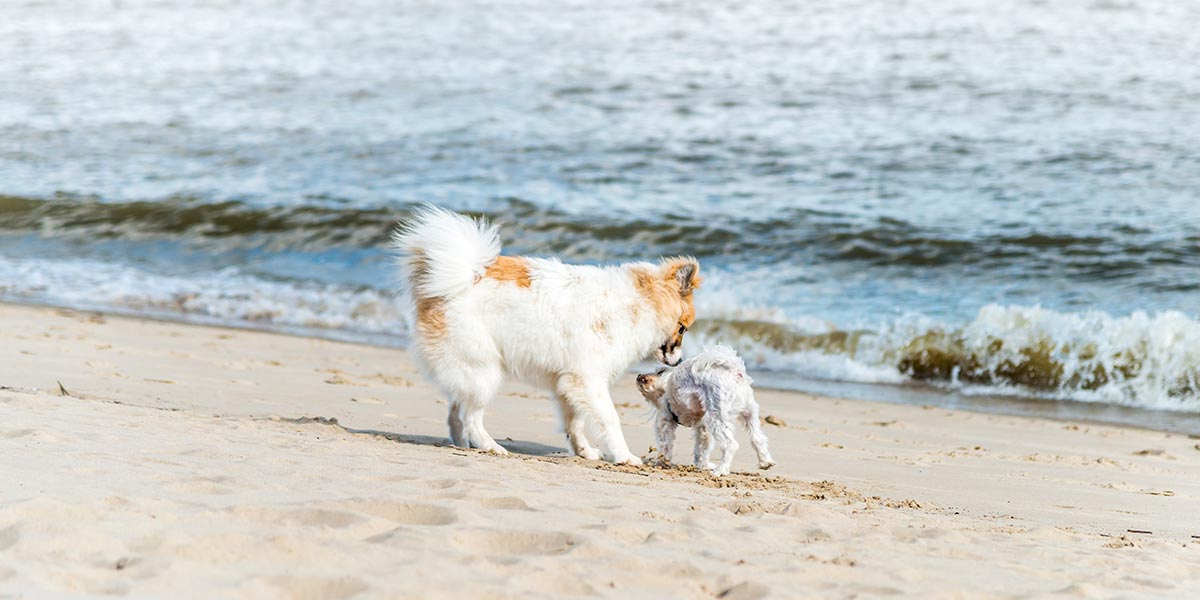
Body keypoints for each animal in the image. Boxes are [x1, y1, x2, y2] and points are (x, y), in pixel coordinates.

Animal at [388, 206, 700, 463]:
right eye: (683, 328)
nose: (678, 361)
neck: (637, 305)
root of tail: (459, 277)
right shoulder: (588, 379)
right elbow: (610, 419)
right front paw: (624, 456)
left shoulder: (569, 384)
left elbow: (575, 423)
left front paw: (585, 451)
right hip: (484, 372)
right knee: (470, 416)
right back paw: (490, 446)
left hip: (470, 371)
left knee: (455, 412)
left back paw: (462, 445)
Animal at [633, 345, 772, 475]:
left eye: (660, 372)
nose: (639, 376)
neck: (667, 387)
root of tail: (735, 373)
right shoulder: (703, 427)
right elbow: (702, 447)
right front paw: (703, 465)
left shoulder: (665, 421)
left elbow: (665, 445)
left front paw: (661, 463)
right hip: (749, 414)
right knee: (757, 438)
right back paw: (765, 462)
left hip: (718, 418)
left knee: (730, 445)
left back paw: (721, 470)